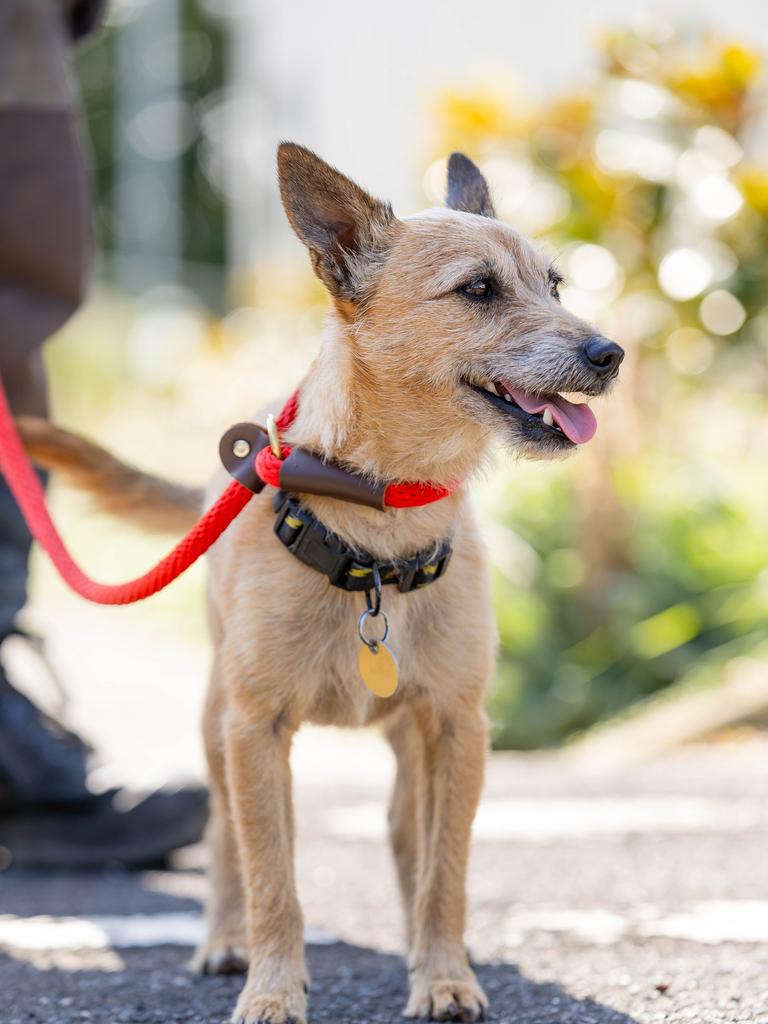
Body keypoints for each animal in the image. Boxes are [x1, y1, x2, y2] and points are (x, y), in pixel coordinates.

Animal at [19, 140, 626, 1019]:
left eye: (556, 285)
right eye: (478, 289)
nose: (609, 355)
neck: (382, 523)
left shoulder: (458, 727)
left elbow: (446, 871)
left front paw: (444, 974)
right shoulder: (255, 732)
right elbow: (274, 876)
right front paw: (273, 988)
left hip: (411, 742)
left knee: (409, 838)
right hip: (215, 725)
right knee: (224, 838)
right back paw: (224, 938)